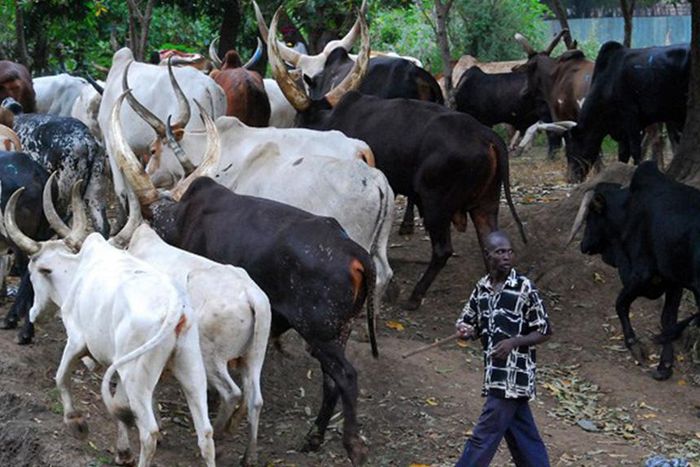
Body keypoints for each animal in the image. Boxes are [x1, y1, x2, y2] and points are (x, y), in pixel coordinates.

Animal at [4, 182, 216, 467]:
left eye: (34, 270)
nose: (35, 314)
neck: (76, 273)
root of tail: (175, 309)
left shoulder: (77, 341)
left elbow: (61, 377)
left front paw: (76, 422)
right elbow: (118, 406)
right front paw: (122, 450)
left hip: (136, 374)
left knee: (149, 432)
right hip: (190, 367)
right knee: (205, 433)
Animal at [110, 93, 378, 466]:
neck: (181, 220)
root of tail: (356, 253)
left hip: (320, 332)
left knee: (346, 377)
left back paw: (352, 445)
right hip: (338, 330)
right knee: (331, 381)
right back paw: (313, 437)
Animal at [269, 9, 526, 310]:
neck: (330, 118)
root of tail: (488, 136)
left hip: (436, 203)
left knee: (443, 250)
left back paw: (415, 295)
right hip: (486, 204)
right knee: (489, 243)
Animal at [567, 42, 690, 183]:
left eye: (573, 150)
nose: (571, 178)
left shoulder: (631, 117)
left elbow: (635, 149)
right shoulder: (622, 129)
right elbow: (623, 153)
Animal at [568, 161, 700, 380]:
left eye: (591, 215)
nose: (583, 245)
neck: (629, 209)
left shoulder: (642, 275)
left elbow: (620, 304)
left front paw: (634, 345)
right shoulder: (673, 281)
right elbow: (667, 318)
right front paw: (665, 365)